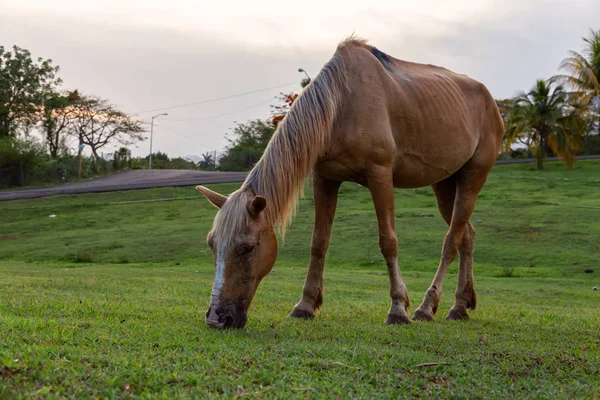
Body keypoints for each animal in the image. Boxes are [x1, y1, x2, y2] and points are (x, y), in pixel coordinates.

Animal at [196, 37, 502, 328]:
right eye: (212, 244)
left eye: (248, 247)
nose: (216, 318)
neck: (342, 104)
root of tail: (489, 100)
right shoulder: (325, 179)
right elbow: (319, 242)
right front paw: (305, 305)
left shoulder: (380, 176)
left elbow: (388, 241)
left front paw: (398, 308)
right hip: (444, 185)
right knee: (466, 236)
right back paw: (460, 305)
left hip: (473, 177)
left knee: (451, 241)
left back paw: (427, 308)